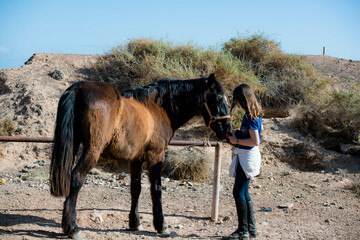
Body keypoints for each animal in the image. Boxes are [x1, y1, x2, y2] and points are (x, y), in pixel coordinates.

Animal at [49, 73, 232, 238]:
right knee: (76, 178)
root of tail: (77, 89)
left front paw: (134, 223)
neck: (157, 108)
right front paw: (161, 225)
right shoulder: (156, 155)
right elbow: (156, 189)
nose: (228, 129)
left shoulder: (136, 160)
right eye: (218, 97)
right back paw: (72, 228)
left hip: (73, 147)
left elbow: (135, 189)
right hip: (92, 151)